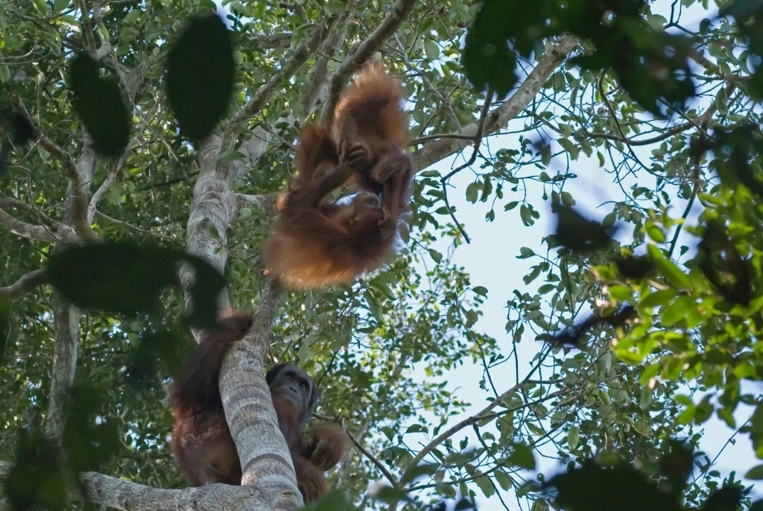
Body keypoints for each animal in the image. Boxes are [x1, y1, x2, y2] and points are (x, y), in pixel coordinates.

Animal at [170, 310, 348, 502]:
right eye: (289, 377)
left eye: (303, 386)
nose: (293, 389)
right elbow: (192, 388)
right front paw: (243, 321)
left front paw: (328, 442)